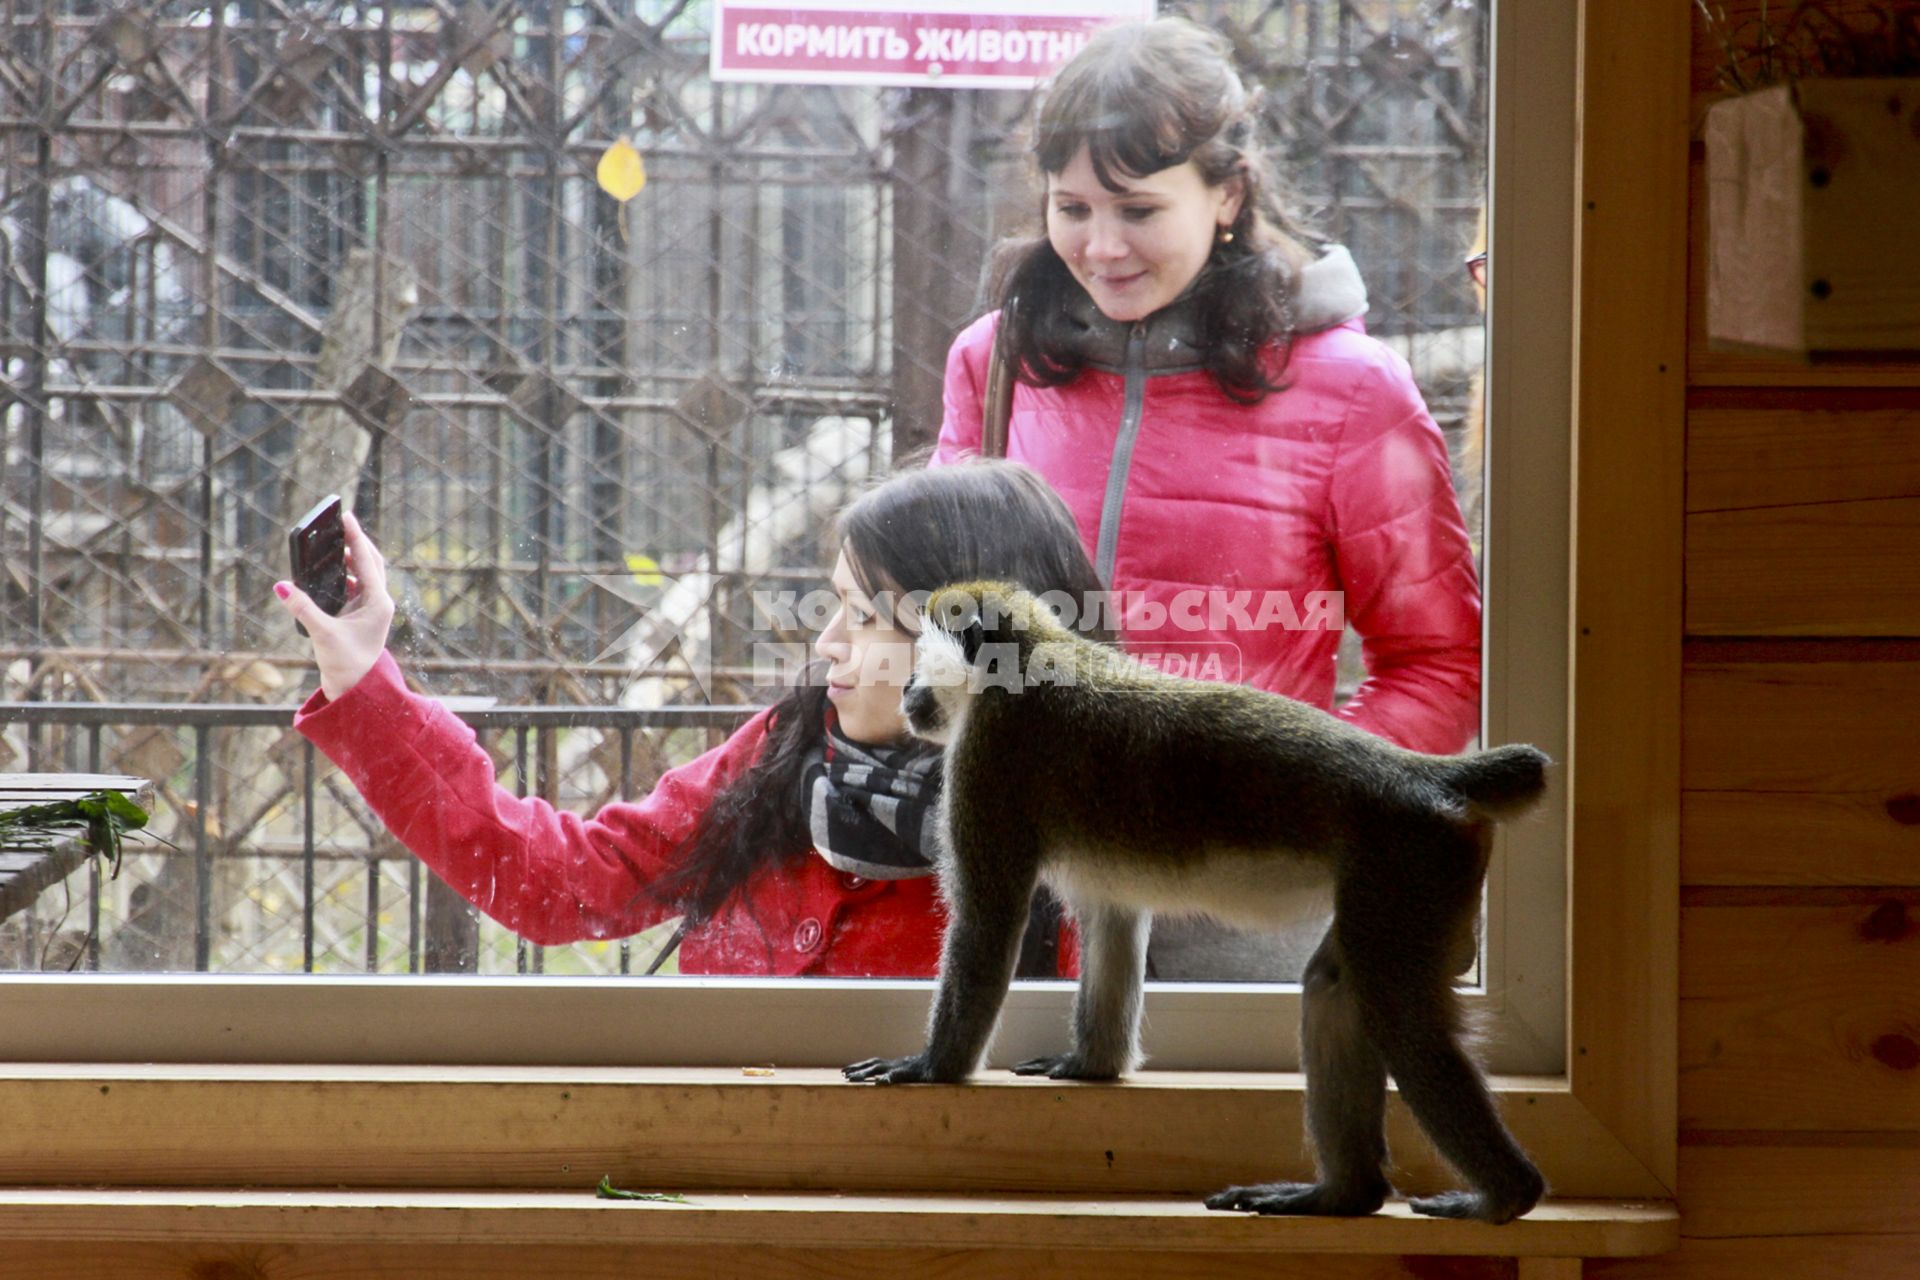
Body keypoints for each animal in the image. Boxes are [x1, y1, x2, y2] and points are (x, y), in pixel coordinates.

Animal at [848, 579, 1551, 1220]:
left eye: (918, 660)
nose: (906, 690)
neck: (1030, 658)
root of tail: (1422, 774)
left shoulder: (992, 755)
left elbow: (988, 919)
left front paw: (932, 1066)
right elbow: (1112, 918)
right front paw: (1090, 1065)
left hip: (1410, 861)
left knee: (1397, 1015)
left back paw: (1506, 1195)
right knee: (1335, 986)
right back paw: (1345, 1196)